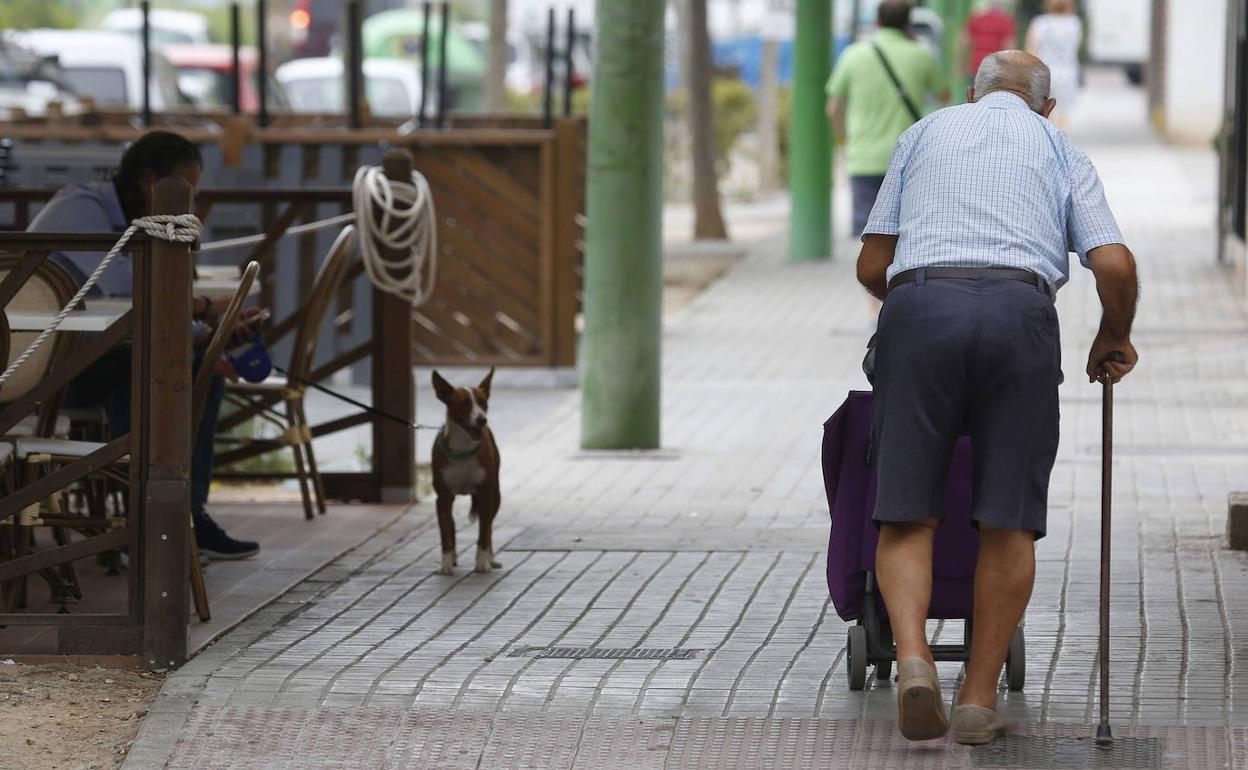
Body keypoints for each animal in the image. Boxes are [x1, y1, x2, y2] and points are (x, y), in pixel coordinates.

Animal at [431, 369, 499, 574]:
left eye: (483, 402)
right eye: (463, 403)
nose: (482, 419)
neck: (463, 449)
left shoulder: (486, 494)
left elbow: (484, 532)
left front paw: (482, 563)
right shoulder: (443, 497)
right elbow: (445, 534)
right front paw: (445, 565)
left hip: (496, 495)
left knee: (489, 526)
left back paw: (491, 559)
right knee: (452, 527)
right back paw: (453, 558)